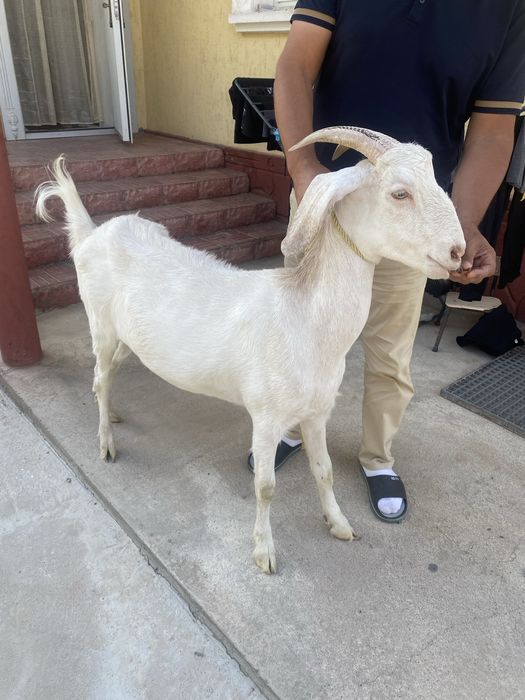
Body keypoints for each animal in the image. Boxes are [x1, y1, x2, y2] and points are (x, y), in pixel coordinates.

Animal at [35, 127, 465, 573]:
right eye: (399, 193)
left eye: (437, 179)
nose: (458, 252)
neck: (305, 321)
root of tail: (92, 233)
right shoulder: (266, 416)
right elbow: (265, 485)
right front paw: (264, 552)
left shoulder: (317, 413)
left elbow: (325, 470)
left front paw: (340, 524)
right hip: (99, 324)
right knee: (100, 378)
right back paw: (106, 444)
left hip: (128, 337)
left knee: (108, 376)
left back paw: (115, 414)